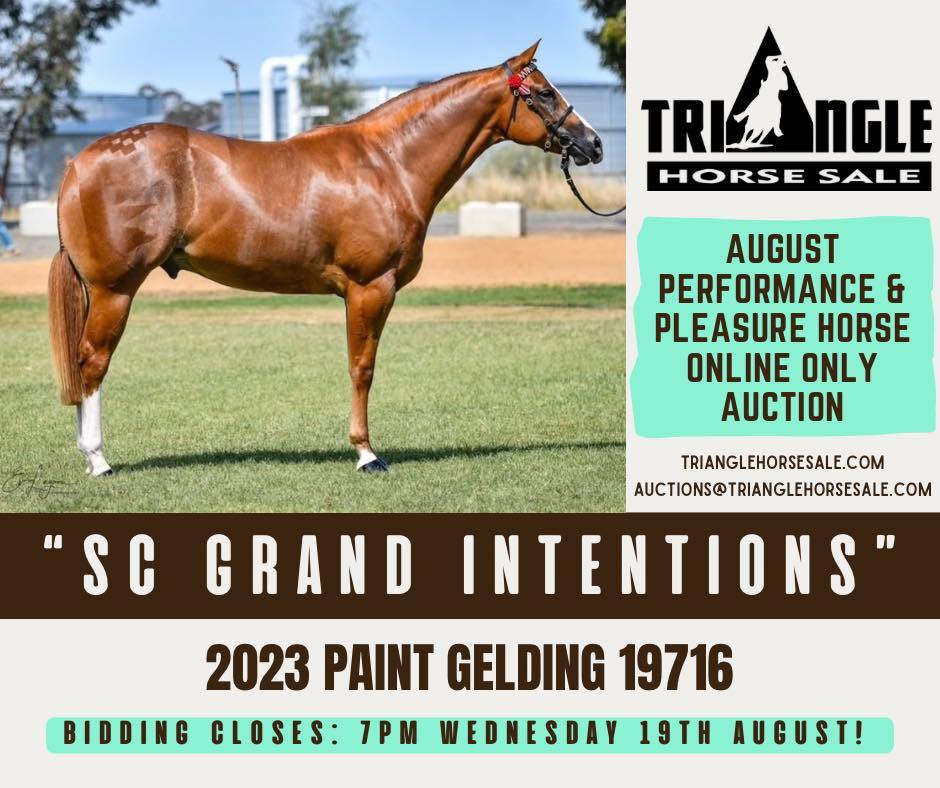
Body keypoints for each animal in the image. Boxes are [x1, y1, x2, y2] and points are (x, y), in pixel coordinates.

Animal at [47, 40, 604, 477]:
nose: (594, 143)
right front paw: (367, 454)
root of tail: (78, 162)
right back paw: (98, 460)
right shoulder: (370, 288)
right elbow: (362, 368)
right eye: (545, 92)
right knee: (92, 361)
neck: (389, 163)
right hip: (115, 290)